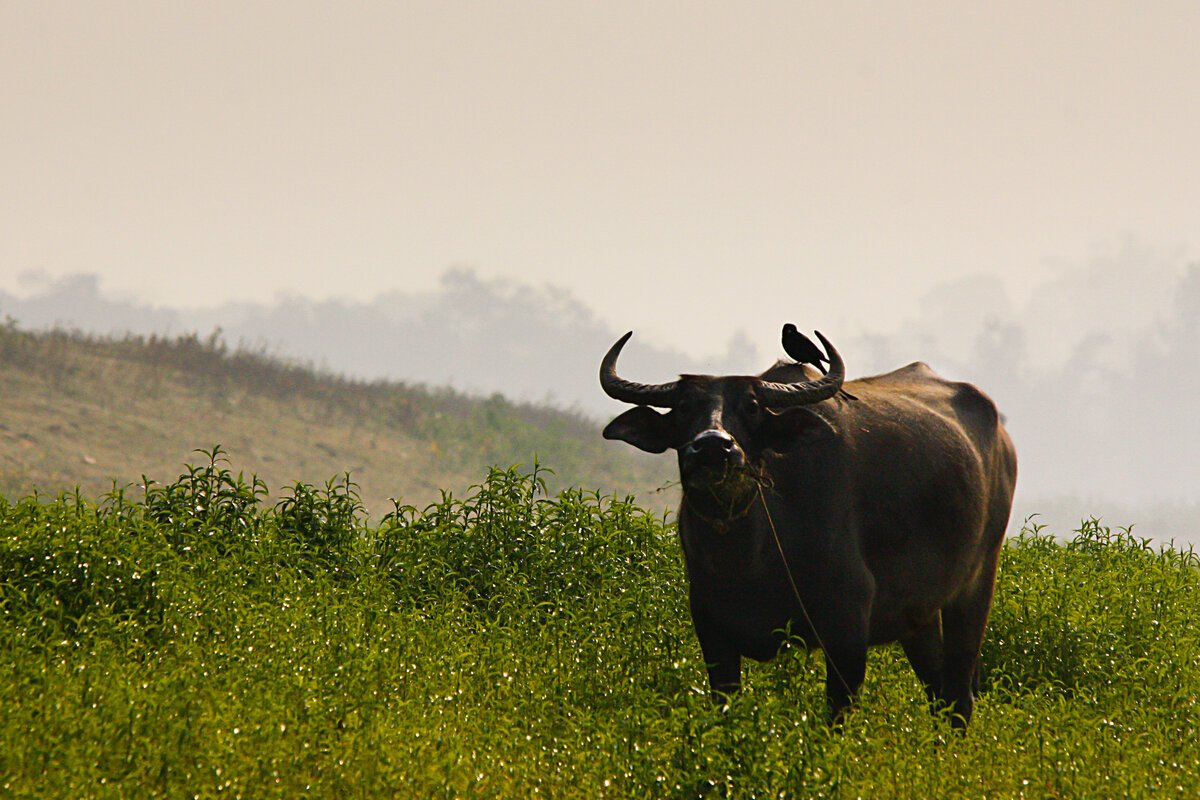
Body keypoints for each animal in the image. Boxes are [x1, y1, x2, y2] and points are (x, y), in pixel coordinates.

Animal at [597, 323, 1012, 724]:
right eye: (684, 407)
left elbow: (837, 713)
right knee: (938, 692)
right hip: (920, 616)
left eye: (751, 407)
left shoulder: (847, 627)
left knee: (959, 695)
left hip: (976, 586)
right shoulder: (711, 629)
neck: (748, 556)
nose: (715, 446)